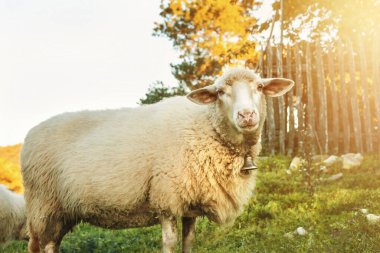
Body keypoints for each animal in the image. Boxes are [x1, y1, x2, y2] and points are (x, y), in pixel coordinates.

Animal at [20, 67, 294, 253]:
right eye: (220, 92)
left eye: (260, 88)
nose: (247, 115)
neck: (205, 129)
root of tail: (30, 135)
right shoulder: (167, 199)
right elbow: (170, 243)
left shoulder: (190, 204)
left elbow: (188, 242)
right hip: (44, 206)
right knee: (43, 245)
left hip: (62, 210)